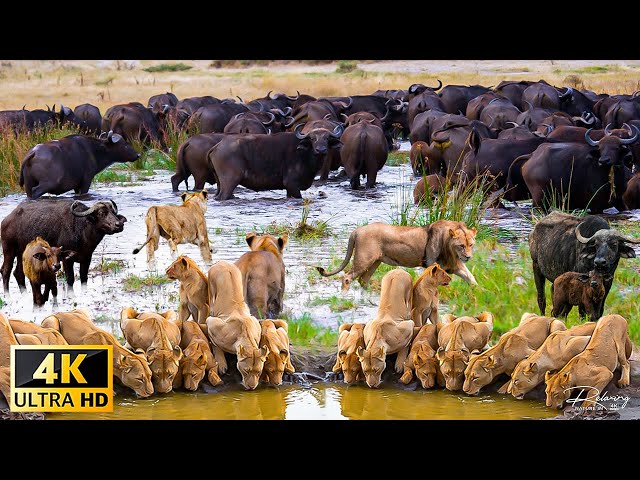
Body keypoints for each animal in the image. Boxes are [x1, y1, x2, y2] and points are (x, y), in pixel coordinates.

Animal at [206, 258, 268, 390]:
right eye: (246, 371)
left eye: (259, 372)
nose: (251, 387)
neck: (245, 334)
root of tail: (222, 262)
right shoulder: (212, 323)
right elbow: (215, 343)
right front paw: (221, 363)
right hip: (211, 294)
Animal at [208, 124, 342, 201]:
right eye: (313, 139)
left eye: (327, 138)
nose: (321, 150)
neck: (304, 154)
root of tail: (218, 146)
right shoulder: (292, 184)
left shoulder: (289, 189)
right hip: (229, 182)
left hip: (220, 184)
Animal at [316, 219, 476, 290]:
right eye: (461, 246)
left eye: (471, 245)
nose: (468, 257)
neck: (451, 251)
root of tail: (357, 230)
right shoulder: (432, 263)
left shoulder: (456, 266)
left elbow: (471, 278)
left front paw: (477, 292)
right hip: (363, 260)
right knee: (347, 277)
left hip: (375, 262)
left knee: (363, 280)